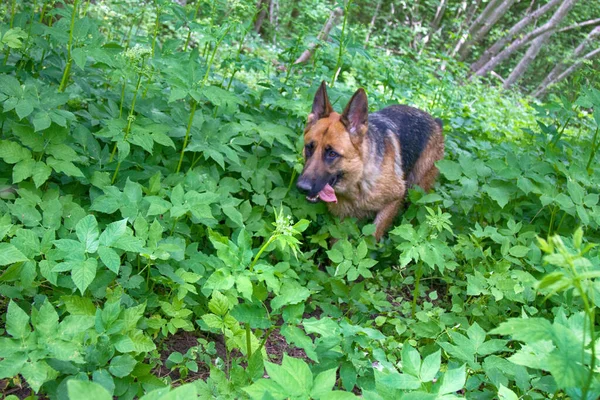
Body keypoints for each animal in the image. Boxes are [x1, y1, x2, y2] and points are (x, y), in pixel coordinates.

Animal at [298, 79, 442, 239]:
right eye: (309, 147)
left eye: (332, 154)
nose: (302, 187)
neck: (358, 180)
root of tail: (434, 121)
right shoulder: (343, 221)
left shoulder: (393, 201)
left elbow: (372, 237)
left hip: (417, 195)